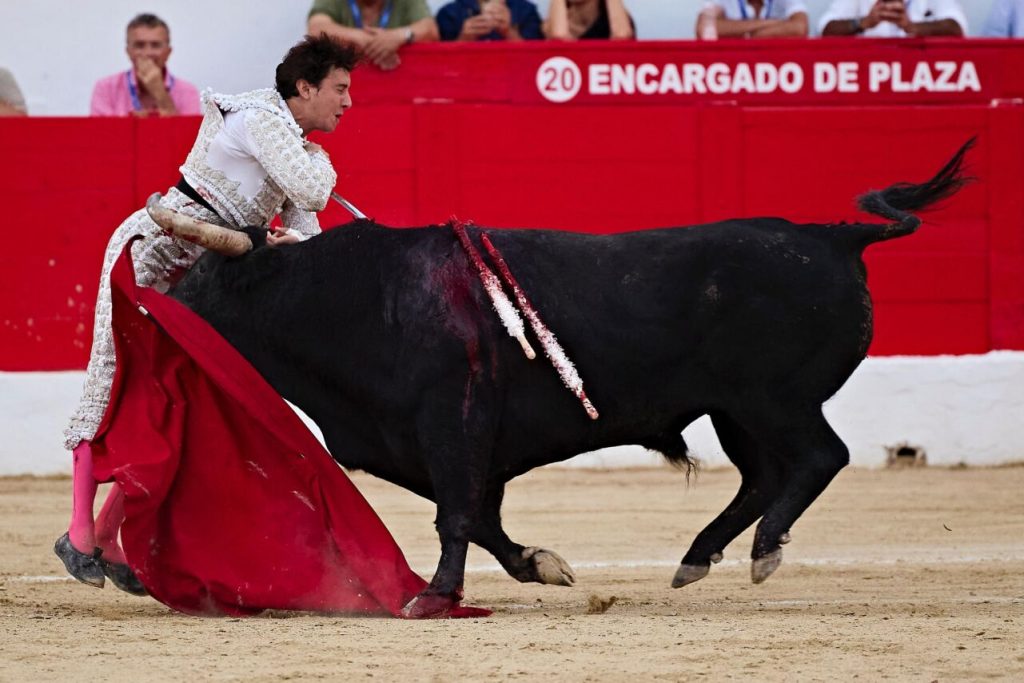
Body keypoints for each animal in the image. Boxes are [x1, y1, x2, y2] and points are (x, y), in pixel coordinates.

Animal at [165, 141, 966, 618]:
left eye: (199, 282)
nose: (155, 305)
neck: (349, 296)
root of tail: (831, 236)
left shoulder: (451, 421)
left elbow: (457, 515)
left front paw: (435, 596)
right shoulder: (417, 445)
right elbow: (479, 516)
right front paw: (539, 566)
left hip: (775, 398)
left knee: (821, 456)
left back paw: (763, 551)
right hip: (735, 410)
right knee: (764, 475)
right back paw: (697, 558)